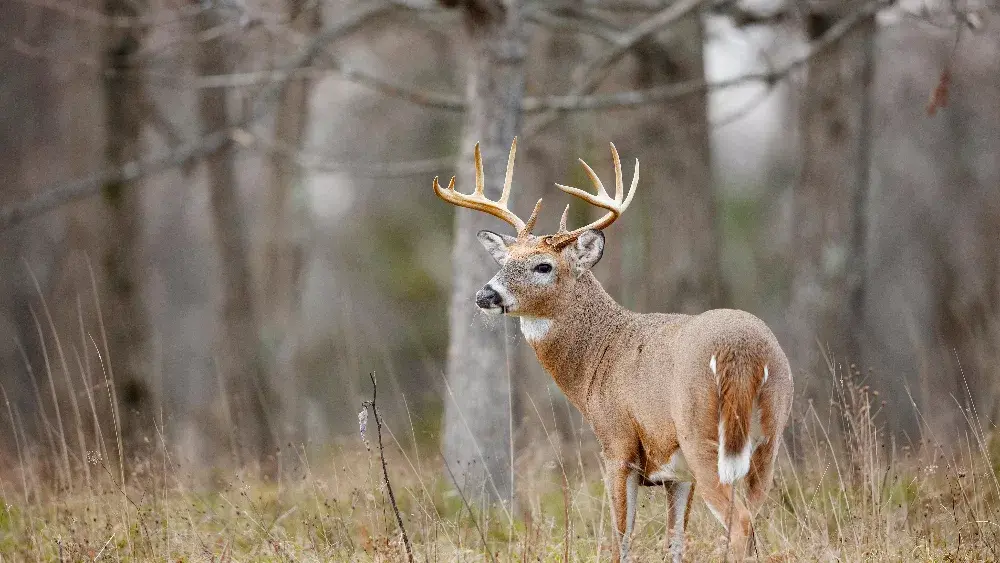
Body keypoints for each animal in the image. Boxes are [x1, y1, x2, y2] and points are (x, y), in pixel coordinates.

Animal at [433, 138, 794, 562]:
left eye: (543, 266)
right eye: (505, 260)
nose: (485, 295)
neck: (601, 355)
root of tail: (744, 352)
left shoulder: (617, 444)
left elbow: (622, 536)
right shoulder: (676, 472)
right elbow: (675, 541)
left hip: (703, 434)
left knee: (739, 524)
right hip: (768, 439)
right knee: (753, 518)